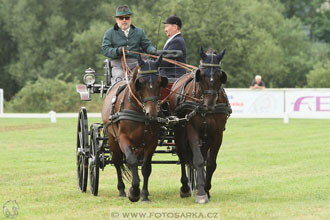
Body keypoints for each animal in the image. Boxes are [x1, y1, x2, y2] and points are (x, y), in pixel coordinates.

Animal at [101, 55, 169, 203]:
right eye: (141, 82)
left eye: (159, 81)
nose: (152, 112)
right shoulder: (123, 138)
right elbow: (131, 161)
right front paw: (134, 192)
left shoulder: (151, 141)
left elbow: (146, 167)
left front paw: (144, 194)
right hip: (112, 139)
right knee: (117, 162)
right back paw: (121, 190)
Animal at [169, 47, 231, 204]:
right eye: (201, 75)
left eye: (219, 75)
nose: (209, 104)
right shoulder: (192, 130)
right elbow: (197, 160)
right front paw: (202, 193)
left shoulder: (217, 133)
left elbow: (210, 163)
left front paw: (205, 189)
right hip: (179, 132)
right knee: (183, 156)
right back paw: (185, 187)